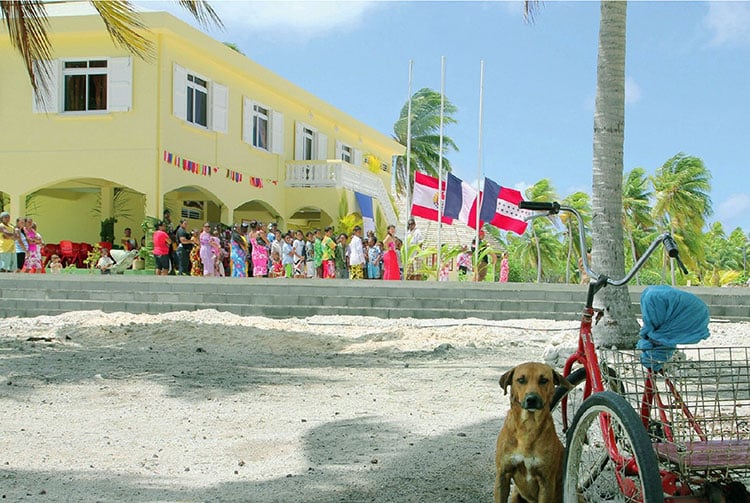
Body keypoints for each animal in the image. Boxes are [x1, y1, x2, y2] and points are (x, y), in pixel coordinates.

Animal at [496, 364, 572, 502]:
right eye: (521, 380)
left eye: (543, 380)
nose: (532, 399)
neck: (528, 427)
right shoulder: (502, 475)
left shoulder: (546, 482)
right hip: (515, 495)